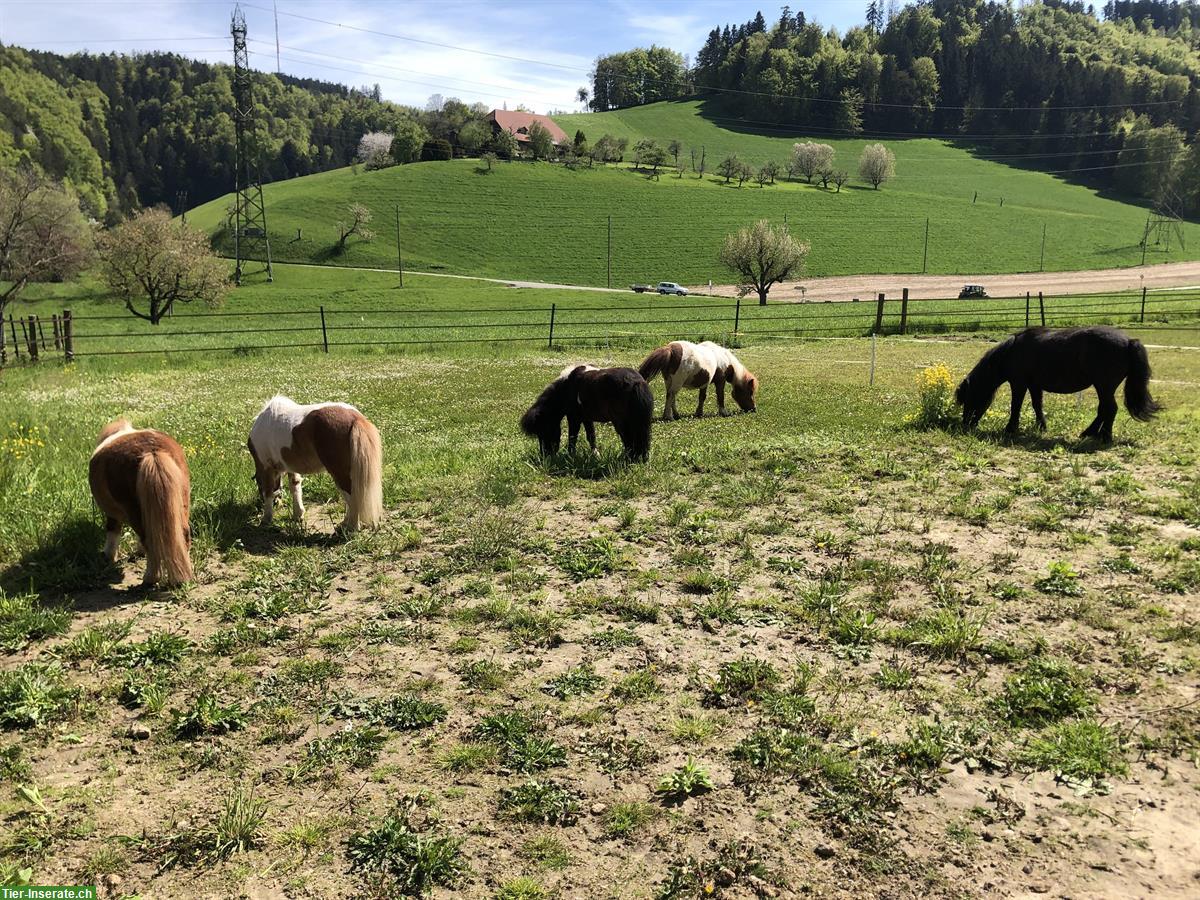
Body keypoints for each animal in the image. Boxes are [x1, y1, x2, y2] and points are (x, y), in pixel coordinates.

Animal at [88, 420, 193, 588]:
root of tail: (151, 451)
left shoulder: (112, 515)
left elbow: (112, 531)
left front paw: (109, 557)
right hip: (180, 505)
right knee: (183, 535)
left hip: (133, 510)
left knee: (149, 540)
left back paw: (150, 578)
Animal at [248, 396, 384, 535]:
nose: (277, 504)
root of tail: (356, 418)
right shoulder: (291, 467)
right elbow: (295, 487)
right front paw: (298, 515)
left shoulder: (266, 468)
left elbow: (269, 492)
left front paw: (266, 519)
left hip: (339, 473)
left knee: (352, 498)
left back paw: (351, 528)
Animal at [520, 367, 652, 465]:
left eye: (543, 431)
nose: (545, 455)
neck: (567, 386)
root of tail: (635, 382)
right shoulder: (587, 418)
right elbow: (591, 436)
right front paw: (596, 455)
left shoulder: (574, 417)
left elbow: (572, 438)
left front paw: (570, 456)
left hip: (621, 423)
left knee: (629, 440)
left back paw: (628, 460)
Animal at [950, 328, 1156, 446]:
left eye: (969, 399)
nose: (966, 424)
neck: (1012, 351)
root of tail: (1129, 341)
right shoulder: (1034, 385)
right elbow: (1037, 405)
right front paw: (1041, 427)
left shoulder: (1019, 383)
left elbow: (1015, 406)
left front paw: (1010, 428)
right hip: (1103, 387)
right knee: (1103, 410)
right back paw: (1088, 433)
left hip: (1104, 386)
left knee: (1109, 409)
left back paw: (1104, 437)